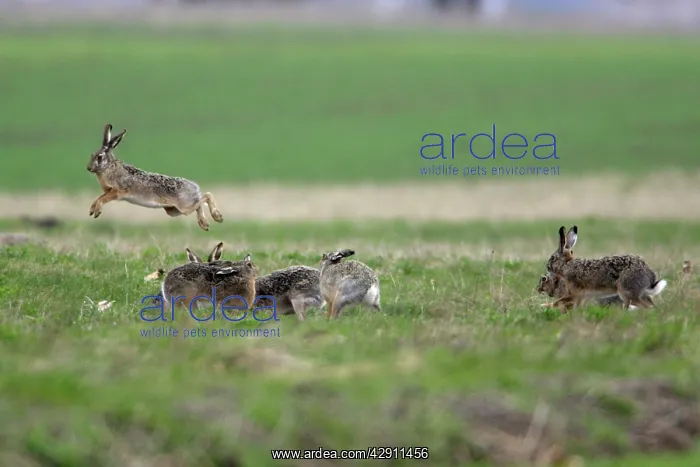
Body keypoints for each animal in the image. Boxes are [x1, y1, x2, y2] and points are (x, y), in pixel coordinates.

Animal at [87, 123, 223, 231]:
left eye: (99, 157)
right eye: (92, 155)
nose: (88, 168)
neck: (108, 167)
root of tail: (195, 187)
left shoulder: (117, 191)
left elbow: (102, 199)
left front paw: (97, 212)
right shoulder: (108, 191)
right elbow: (98, 198)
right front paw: (92, 210)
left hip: (184, 206)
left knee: (207, 196)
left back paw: (217, 216)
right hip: (173, 210)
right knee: (199, 203)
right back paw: (204, 223)